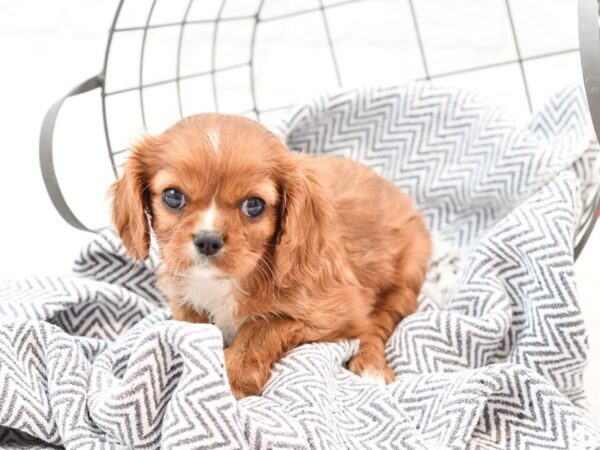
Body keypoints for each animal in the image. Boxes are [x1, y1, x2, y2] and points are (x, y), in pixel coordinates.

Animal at [111, 112, 432, 398]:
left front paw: (233, 379)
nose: (208, 241)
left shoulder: (334, 310)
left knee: (379, 321)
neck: (230, 281)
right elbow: (192, 325)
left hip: (406, 274)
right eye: (173, 196)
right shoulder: (183, 299)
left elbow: (262, 327)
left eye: (254, 205)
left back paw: (370, 366)